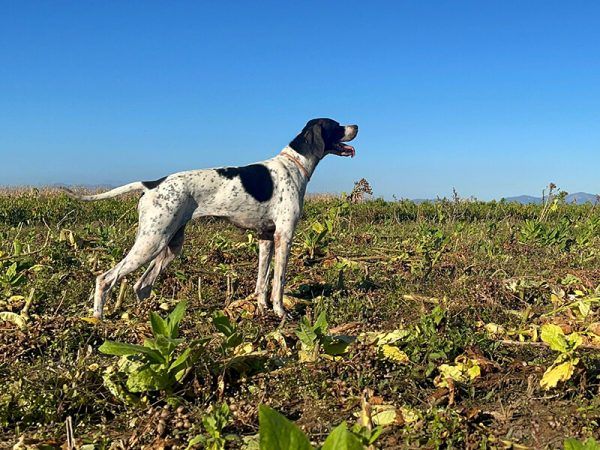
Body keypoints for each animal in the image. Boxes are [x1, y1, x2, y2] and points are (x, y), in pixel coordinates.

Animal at [63, 118, 358, 318]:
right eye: (336, 125)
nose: (356, 125)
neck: (293, 164)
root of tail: (152, 184)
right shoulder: (283, 237)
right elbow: (279, 282)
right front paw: (280, 313)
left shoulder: (265, 238)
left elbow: (262, 282)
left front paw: (262, 309)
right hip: (152, 242)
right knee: (106, 278)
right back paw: (99, 319)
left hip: (170, 245)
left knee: (141, 285)